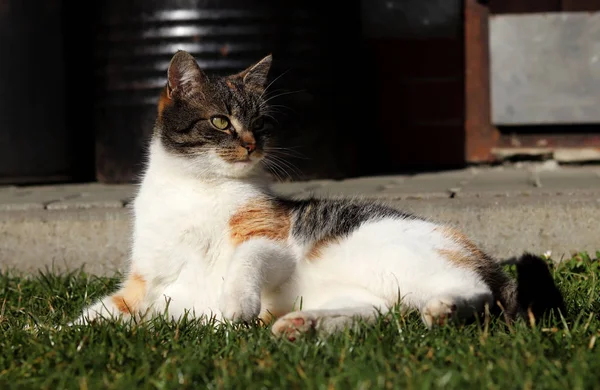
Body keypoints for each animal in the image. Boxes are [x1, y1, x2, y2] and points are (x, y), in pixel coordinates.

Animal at [70, 51, 564, 338]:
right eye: (220, 122)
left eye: (262, 123)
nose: (251, 144)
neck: (196, 188)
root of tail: (480, 255)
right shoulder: (142, 285)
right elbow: (101, 310)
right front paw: (58, 334)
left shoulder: (270, 234)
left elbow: (245, 260)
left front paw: (236, 304)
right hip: (369, 290)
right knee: (381, 312)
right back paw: (302, 324)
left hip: (398, 254)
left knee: (475, 294)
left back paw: (445, 308)